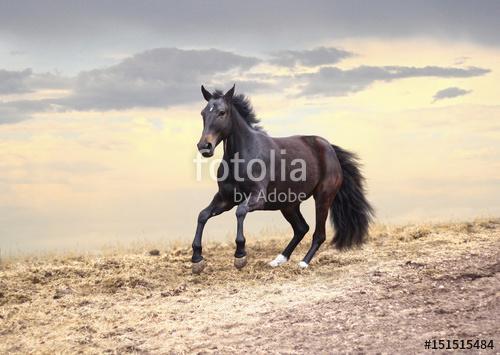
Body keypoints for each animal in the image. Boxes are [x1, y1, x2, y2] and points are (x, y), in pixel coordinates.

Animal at [189, 85, 374, 274]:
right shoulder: (225, 199)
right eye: (203, 113)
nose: (204, 146)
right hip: (288, 205)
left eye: (222, 112)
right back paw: (278, 260)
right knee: (301, 228)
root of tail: (330, 148)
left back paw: (303, 263)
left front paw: (240, 256)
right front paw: (197, 259)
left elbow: (240, 212)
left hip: (323, 198)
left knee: (319, 234)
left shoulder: (257, 197)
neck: (241, 158)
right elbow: (202, 215)